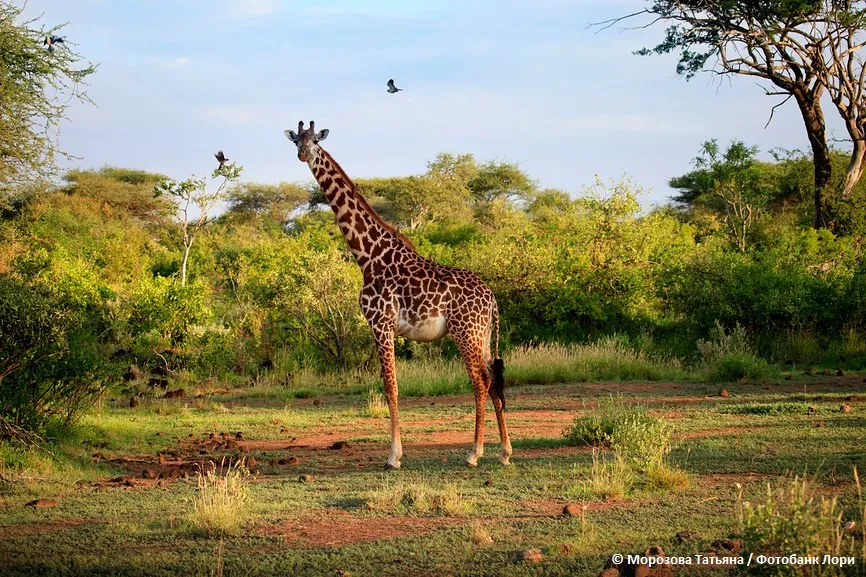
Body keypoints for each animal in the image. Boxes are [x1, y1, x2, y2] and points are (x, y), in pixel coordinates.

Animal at [286, 120, 510, 468]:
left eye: (315, 142)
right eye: (297, 140)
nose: (302, 155)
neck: (367, 254)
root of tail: (491, 298)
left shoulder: (381, 324)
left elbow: (390, 386)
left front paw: (394, 456)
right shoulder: (384, 327)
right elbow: (389, 385)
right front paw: (396, 453)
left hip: (465, 332)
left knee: (481, 381)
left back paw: (475, 453)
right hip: (482, 334)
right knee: (494, 379)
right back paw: (504, 452)